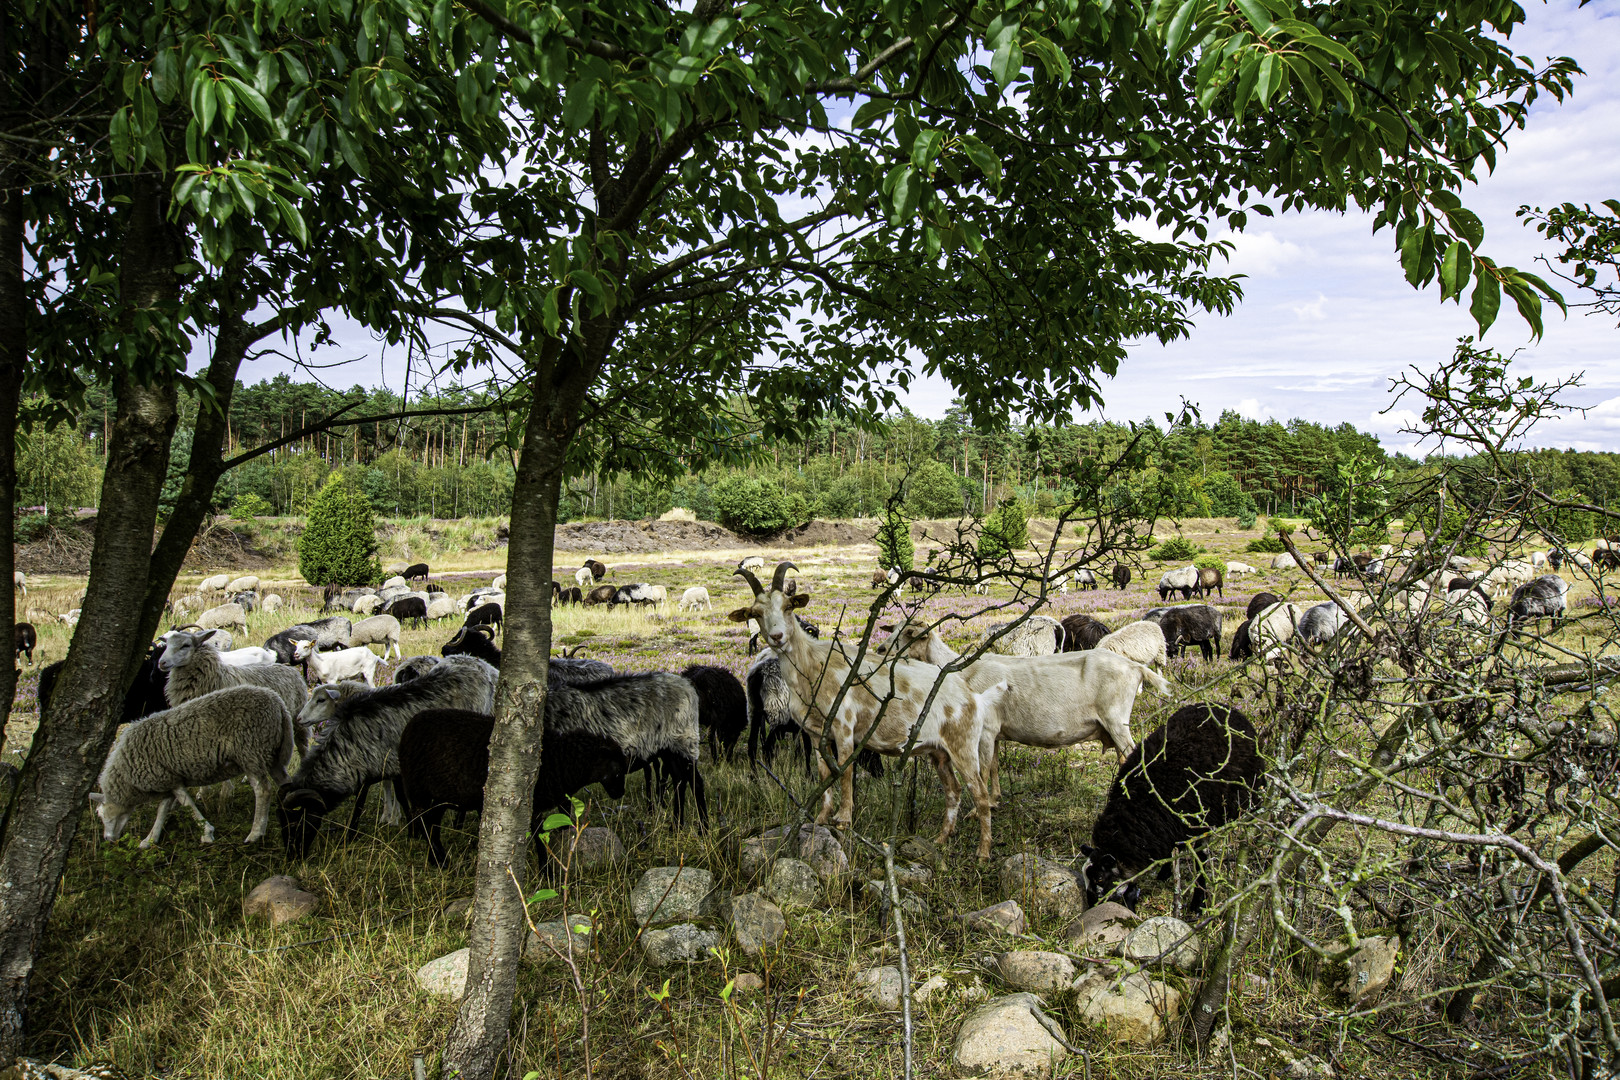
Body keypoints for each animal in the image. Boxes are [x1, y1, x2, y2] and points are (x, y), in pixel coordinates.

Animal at [89, 689, 298, 848]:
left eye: (100, 814)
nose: (108, 839)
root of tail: (278, 704)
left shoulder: (169, 780)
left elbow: (187, 805)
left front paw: (207, 833)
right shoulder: (168, 780)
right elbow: (163, 810)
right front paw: (150, 839)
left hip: (250, 752)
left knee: (263, 791)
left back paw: (255, 833)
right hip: (270, 754)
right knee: (286, 782)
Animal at [278, 654, 495, 854]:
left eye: (296, 822)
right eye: (282, 822)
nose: (292, 855)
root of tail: (475, 664)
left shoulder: (395, 766)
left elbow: (399, 799)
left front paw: (412, 832)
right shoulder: (368, 768)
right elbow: (363, 803)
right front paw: (352, 835)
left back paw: (459, 824)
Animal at [1075, 705, 1263, 919]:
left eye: (1099, 878)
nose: (1091, 907)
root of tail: (1224, 707)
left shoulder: (1199, 824)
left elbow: (1201, 863)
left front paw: (1198, 904)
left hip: (1252, 793)